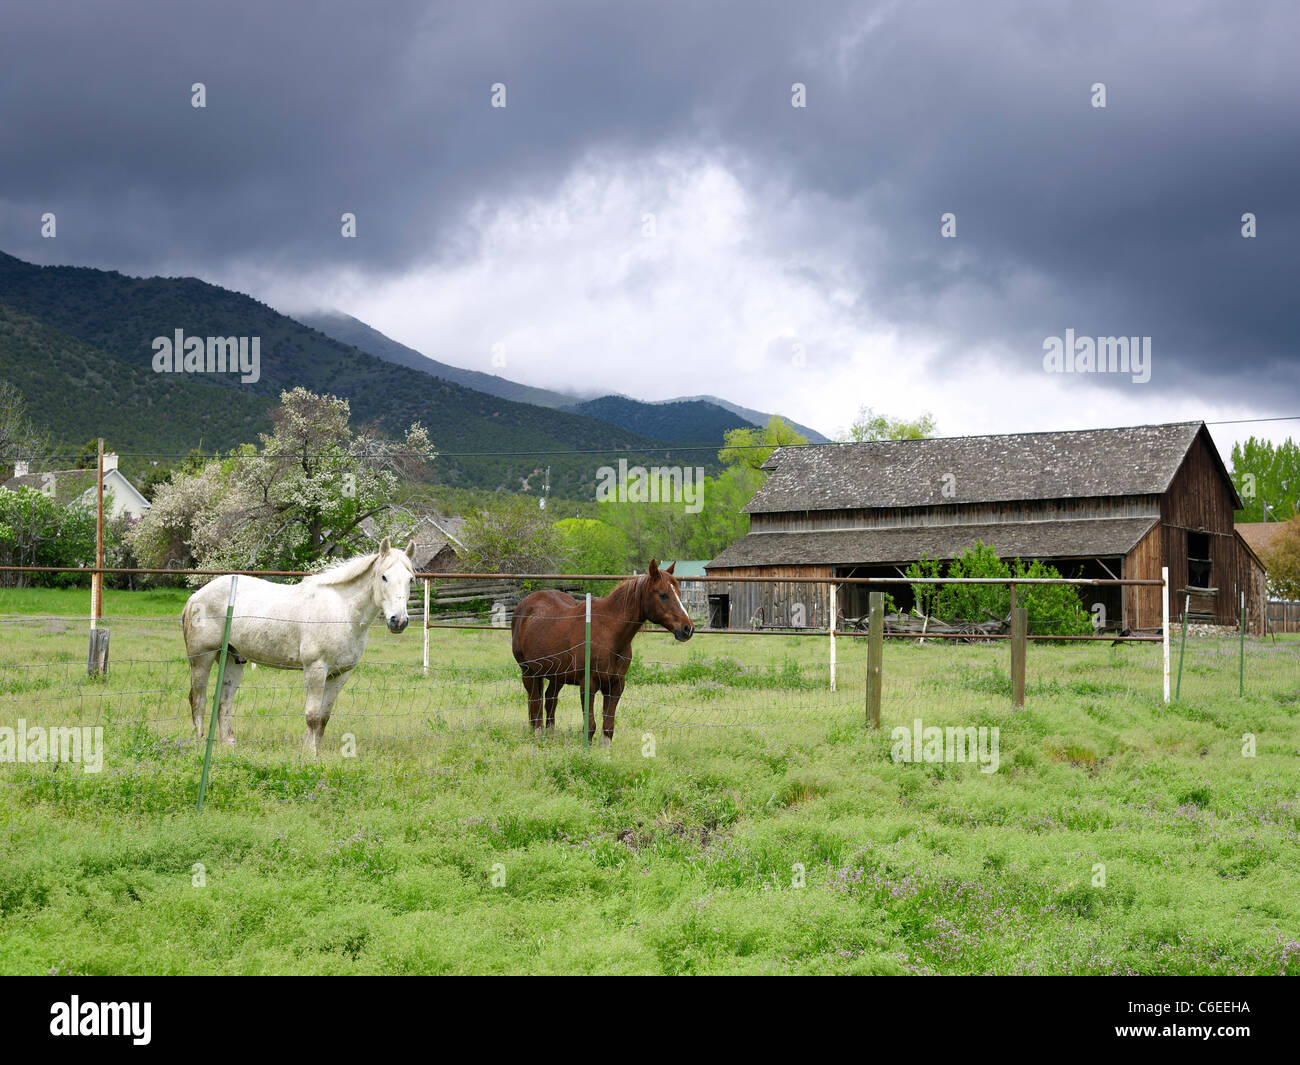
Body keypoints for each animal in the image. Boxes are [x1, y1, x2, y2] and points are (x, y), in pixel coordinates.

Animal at [182, 538, 416, 755]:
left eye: (410, 579)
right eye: (384, 577)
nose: (398, 621)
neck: (341, 611)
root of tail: (195, 597)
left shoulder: (340, 675)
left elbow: (323, 717)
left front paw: (315, 751)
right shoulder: (315, 670)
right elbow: (312, 716)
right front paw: (309, 754)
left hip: (233, 659)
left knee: (224, 702)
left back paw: (229, 745)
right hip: (202, 658)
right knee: (198, 699)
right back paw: (198, 744)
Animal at [511, 559, 694, 744]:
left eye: (679, 593)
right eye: (663, 594)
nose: (688, 628)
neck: (608, 632)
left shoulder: (616, 685)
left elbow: (608, 725)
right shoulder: (588, 684)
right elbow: (590, 725)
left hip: (556, 675)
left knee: (550, 699)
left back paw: (549, 734)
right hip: (528, 672)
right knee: (535, 700)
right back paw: (537, 733)